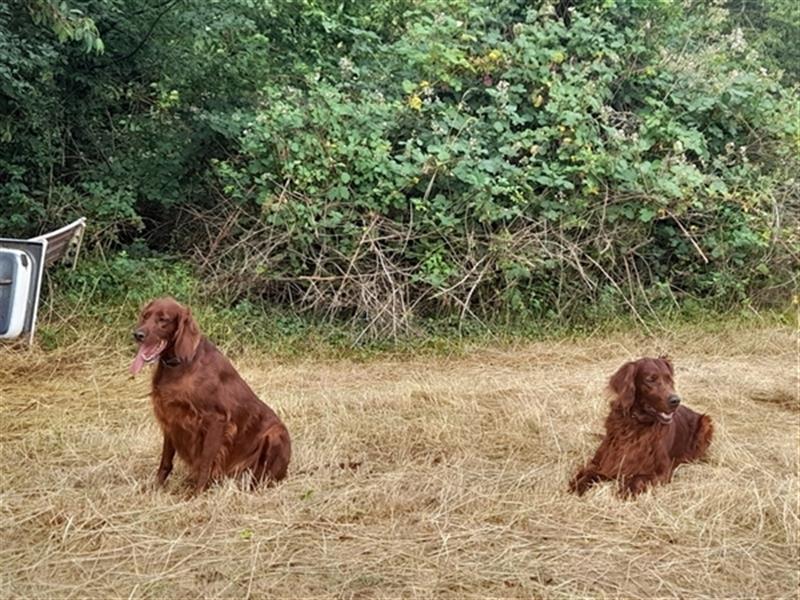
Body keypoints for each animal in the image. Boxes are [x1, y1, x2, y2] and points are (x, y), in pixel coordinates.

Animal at [131, 298, 290, 494]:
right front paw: (155, 488)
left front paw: (196, 494)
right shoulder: (169, 418)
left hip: (276, 433)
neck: (180, 364)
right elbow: (165, 462)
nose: (137, 334)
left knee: (262, 478)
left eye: (163, 319)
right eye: (145, 316)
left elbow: (205, 462)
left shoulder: (216, 420)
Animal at [568, 356, 712, 496]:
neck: (635, 424)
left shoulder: (662, 471)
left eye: (669, 379)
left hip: (706, 422)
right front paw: (577, 486)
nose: (675, 401)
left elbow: (638, 478)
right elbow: (589, 473)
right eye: (650, 379)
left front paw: (625, 492)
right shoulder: (603, 461)